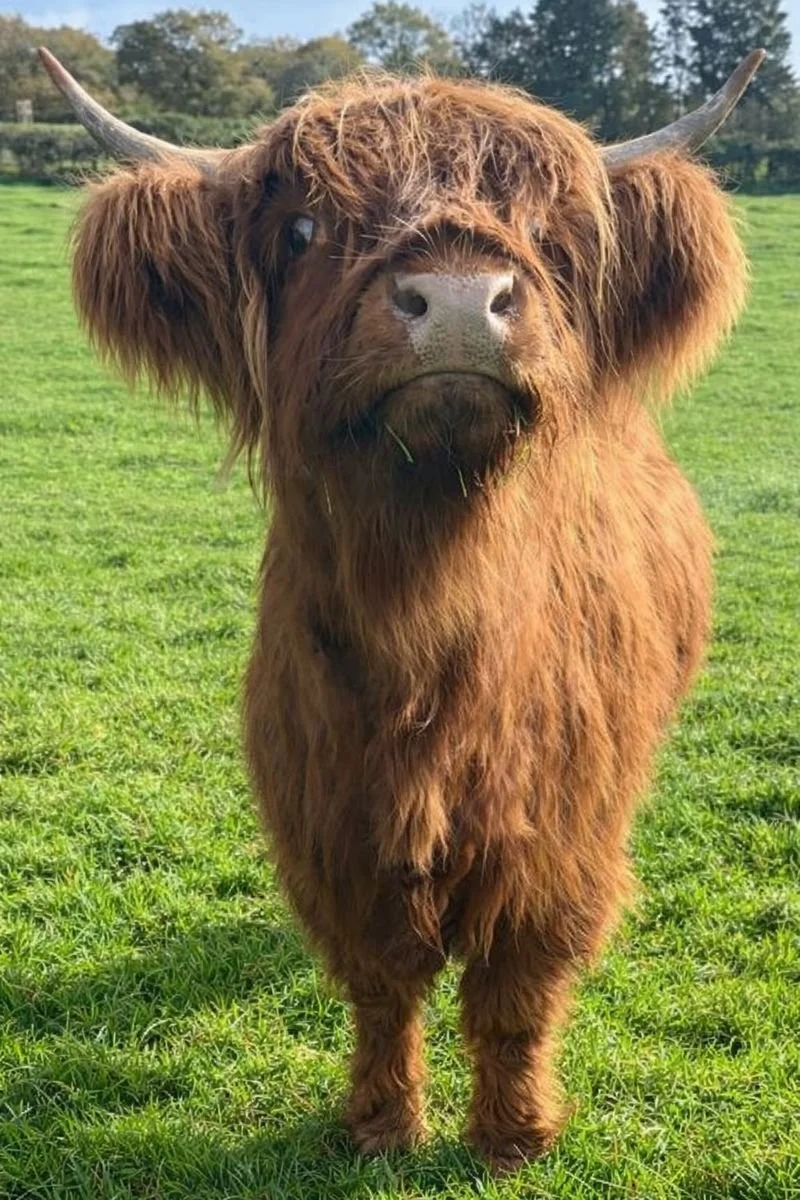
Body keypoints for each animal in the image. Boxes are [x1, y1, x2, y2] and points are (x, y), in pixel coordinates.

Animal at [41, 46, 763, 1170]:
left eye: (544, 232)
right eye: (301, 230)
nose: (461, 299)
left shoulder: (559, 835)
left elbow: (516, 993)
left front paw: (512, 1136)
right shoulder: (330, 817)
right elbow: (382, 986)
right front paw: (380, 1126)